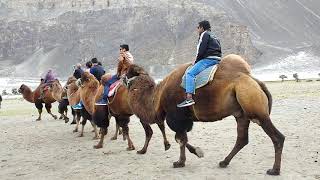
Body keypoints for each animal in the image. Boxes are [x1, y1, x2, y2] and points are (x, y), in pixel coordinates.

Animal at [124, 53, 284, 176]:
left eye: (127, 71)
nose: (121, 78)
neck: (157, 97)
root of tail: (255, 81)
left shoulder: (176, 116)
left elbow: (180, 139)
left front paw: (180, 161)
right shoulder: (184, 119)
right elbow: (182, 138)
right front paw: (194, 153)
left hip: (255, 108)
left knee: (277, 137)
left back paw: (274, 170)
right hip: (241, 114)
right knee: (242, 138)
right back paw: (224, 162)